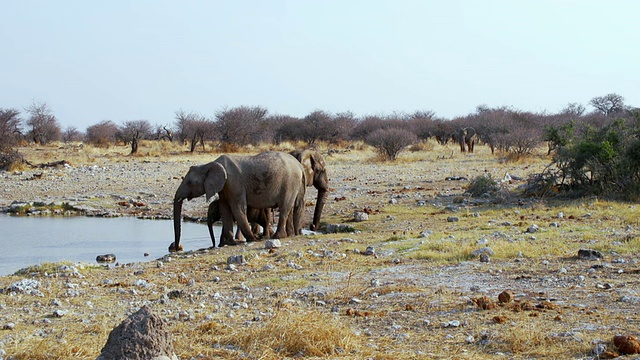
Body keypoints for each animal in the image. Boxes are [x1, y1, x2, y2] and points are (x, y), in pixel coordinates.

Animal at [171, 150, 306, 252]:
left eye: (189, 183)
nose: (177, 248)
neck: (210, 164)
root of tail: (300, 166)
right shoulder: (224, 187)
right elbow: (225, 210)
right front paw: (230, 243)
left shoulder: (234, 183)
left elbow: (238, 209)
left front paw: (252, 240)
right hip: (296, 183)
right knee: (295, 207)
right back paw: (291, 235)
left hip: (290, 182)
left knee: (285, 208)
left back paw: (277, 237)